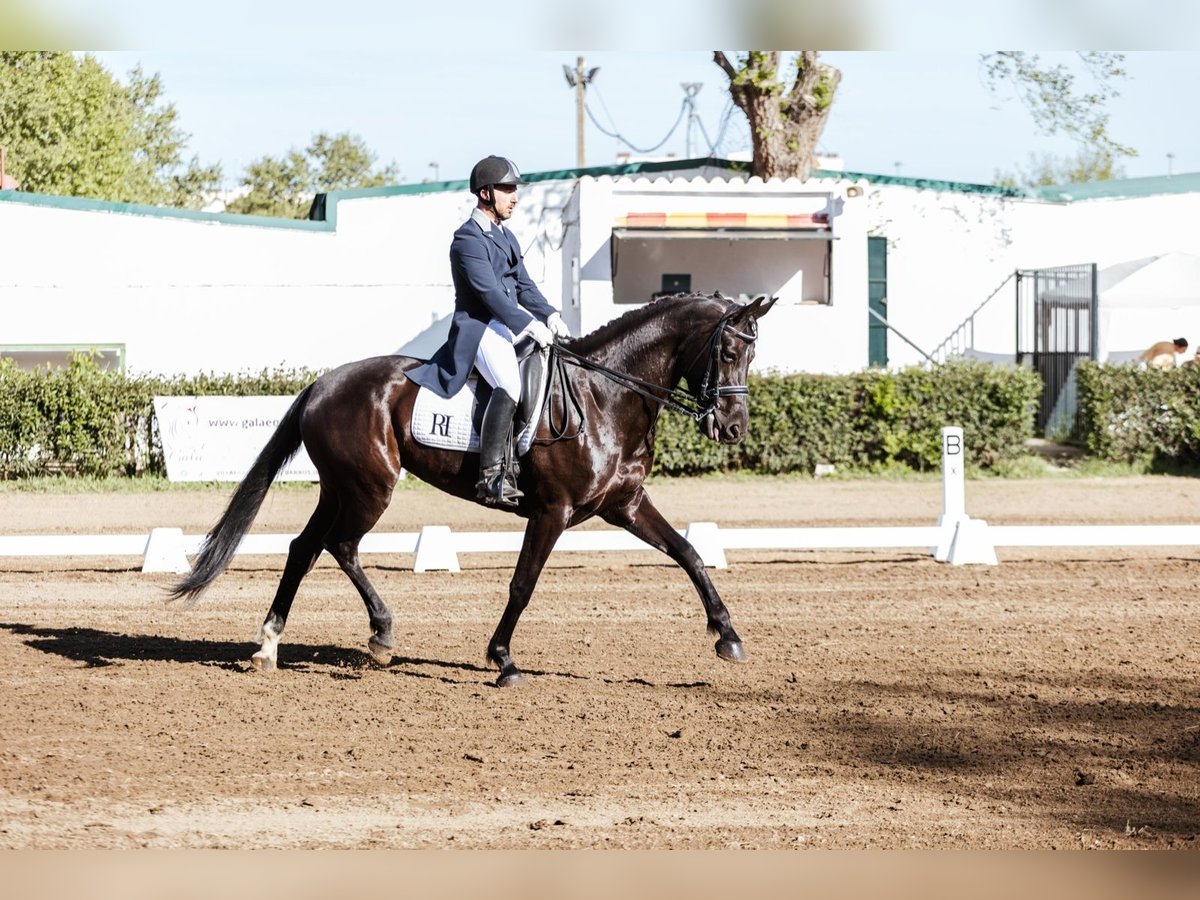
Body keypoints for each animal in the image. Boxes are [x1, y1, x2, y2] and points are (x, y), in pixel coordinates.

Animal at [171, 292, 777, 686]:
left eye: (753, 355)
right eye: (728, 353)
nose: (733, 429)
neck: (605, 396)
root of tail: (323, 383)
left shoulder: (625, 505)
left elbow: (690, 553)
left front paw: (727, 636)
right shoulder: (553, 510)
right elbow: (523, 585)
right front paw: (504, 660)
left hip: (341, 486)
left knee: (304, 548)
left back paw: (269, 647)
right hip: (370, 487)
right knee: (340, 545)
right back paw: (381, 636)